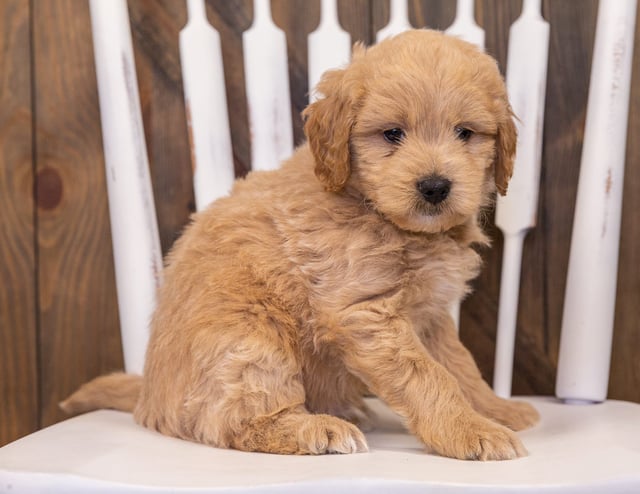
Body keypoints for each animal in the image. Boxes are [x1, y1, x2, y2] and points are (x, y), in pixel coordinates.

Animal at [61, 29, 540, 460]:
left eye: (465, 133)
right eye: (392, 134)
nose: (435, 186)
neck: (374, 209)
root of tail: (148, 397)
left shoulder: (431, 315)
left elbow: (460, 366)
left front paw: (494, 410)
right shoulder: (364, 311)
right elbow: (427, 377)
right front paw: (471, 432)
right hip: (250, 342)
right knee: (230, 421)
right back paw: (317, 428)